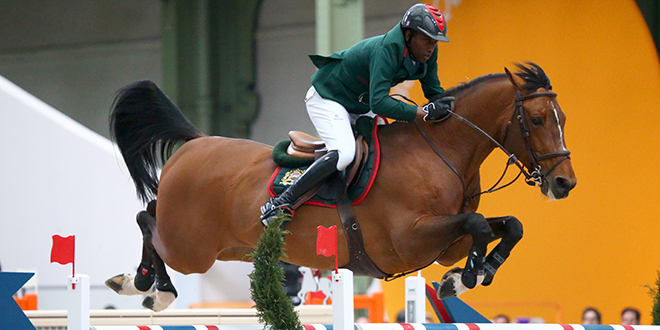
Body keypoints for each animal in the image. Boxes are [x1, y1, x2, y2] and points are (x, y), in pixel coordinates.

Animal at [104, 62, 576, 312]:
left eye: (563, 119)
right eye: (537, 120)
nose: (564, 183)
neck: (440, 150)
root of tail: (197, 142)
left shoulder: (446, 243)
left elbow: (507, 225)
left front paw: (467, 276)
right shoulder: (410, 240)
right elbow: (479, 224)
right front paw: (468, 277)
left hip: (225, 248)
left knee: (150, 215)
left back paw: (142, 283)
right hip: (191, 249)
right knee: (147, 219)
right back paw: (148, 286)